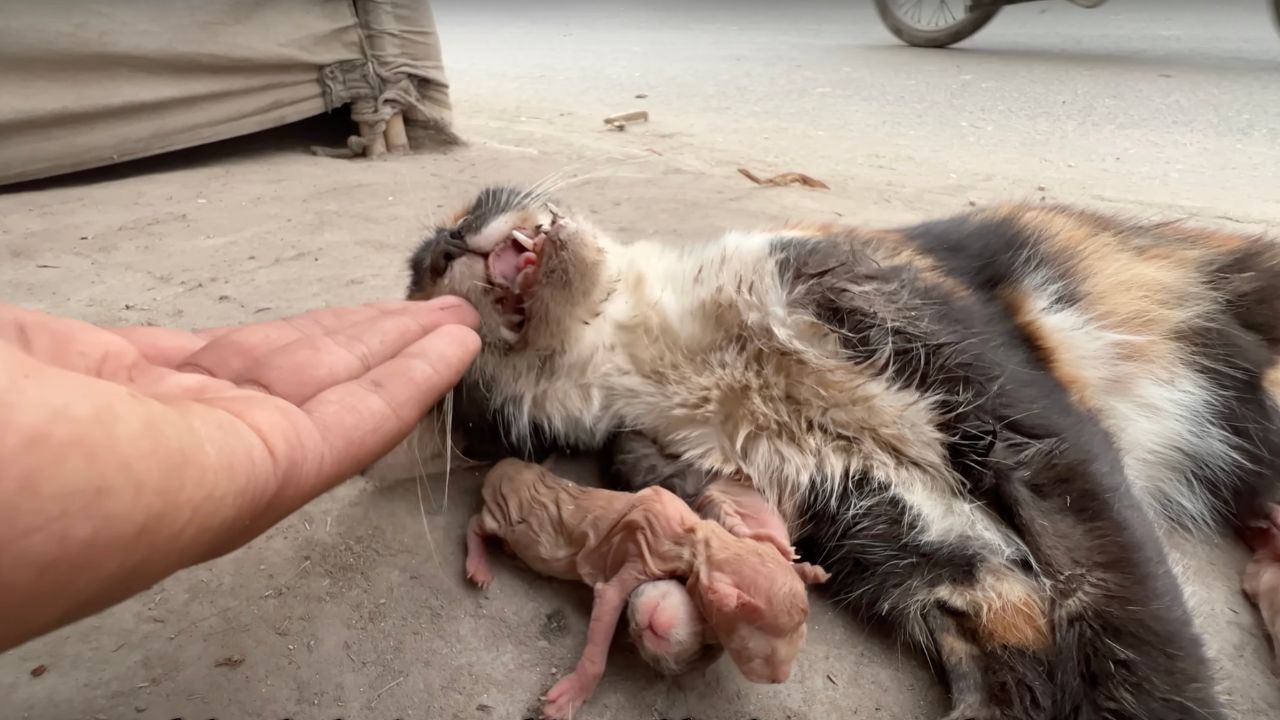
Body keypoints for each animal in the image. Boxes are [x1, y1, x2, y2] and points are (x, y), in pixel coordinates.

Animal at [407, 184, 1280, 717]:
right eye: (422, 279)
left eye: (448, 223)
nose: (444, 244)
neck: (675, 354)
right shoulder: (903, 524)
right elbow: (1014, 646)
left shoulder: (1033, 433)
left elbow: (1140, 642)